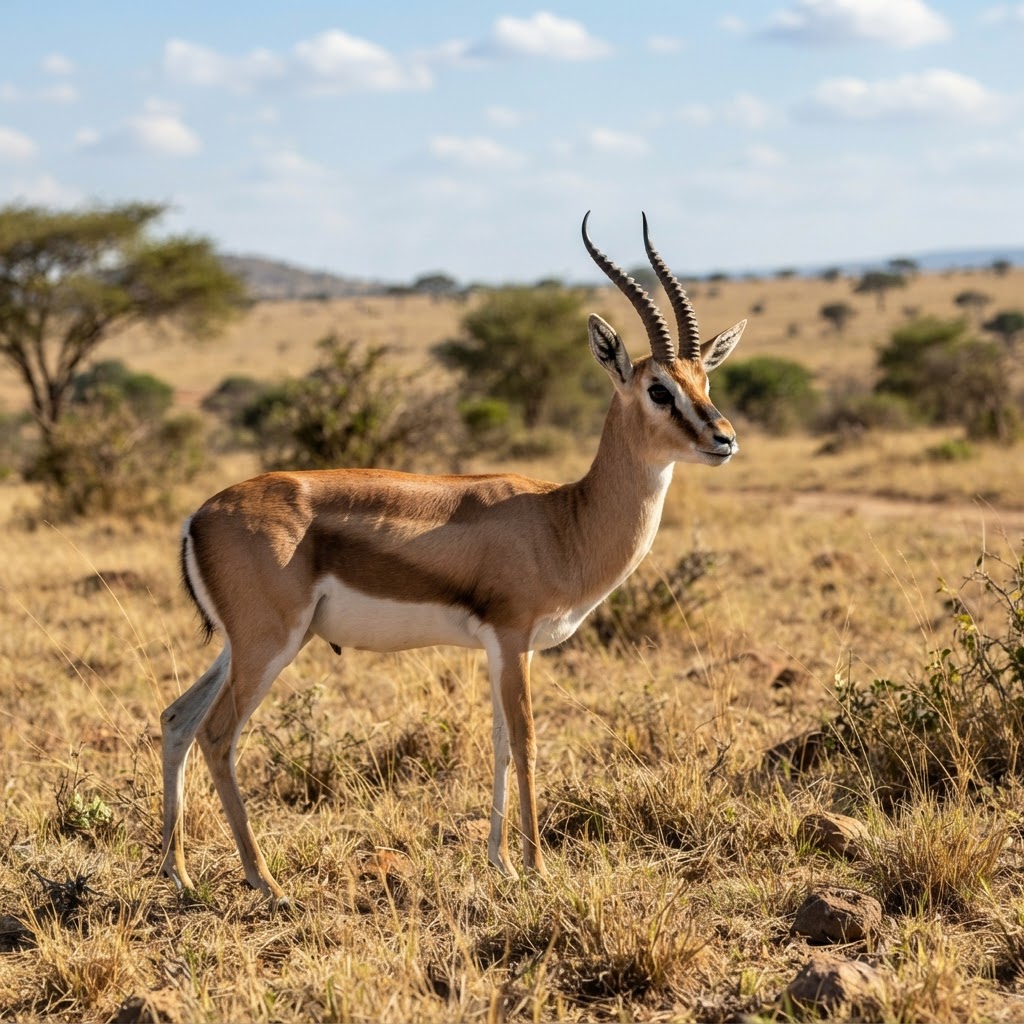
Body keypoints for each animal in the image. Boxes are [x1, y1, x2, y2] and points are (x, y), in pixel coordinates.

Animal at [160, 213, 746, 904]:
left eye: (704, 383)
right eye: (659, 389)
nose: (724, 439)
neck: (561, 520)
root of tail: (197, 517)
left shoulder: (502, 649)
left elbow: (497, 744)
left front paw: (500, 863)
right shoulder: (513, 637)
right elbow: (527, 741)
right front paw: (537, 868)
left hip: (242, 645)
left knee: (177, 718)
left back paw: (178, 872)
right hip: (268, 644)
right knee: (217, 735)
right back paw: (265, 880)